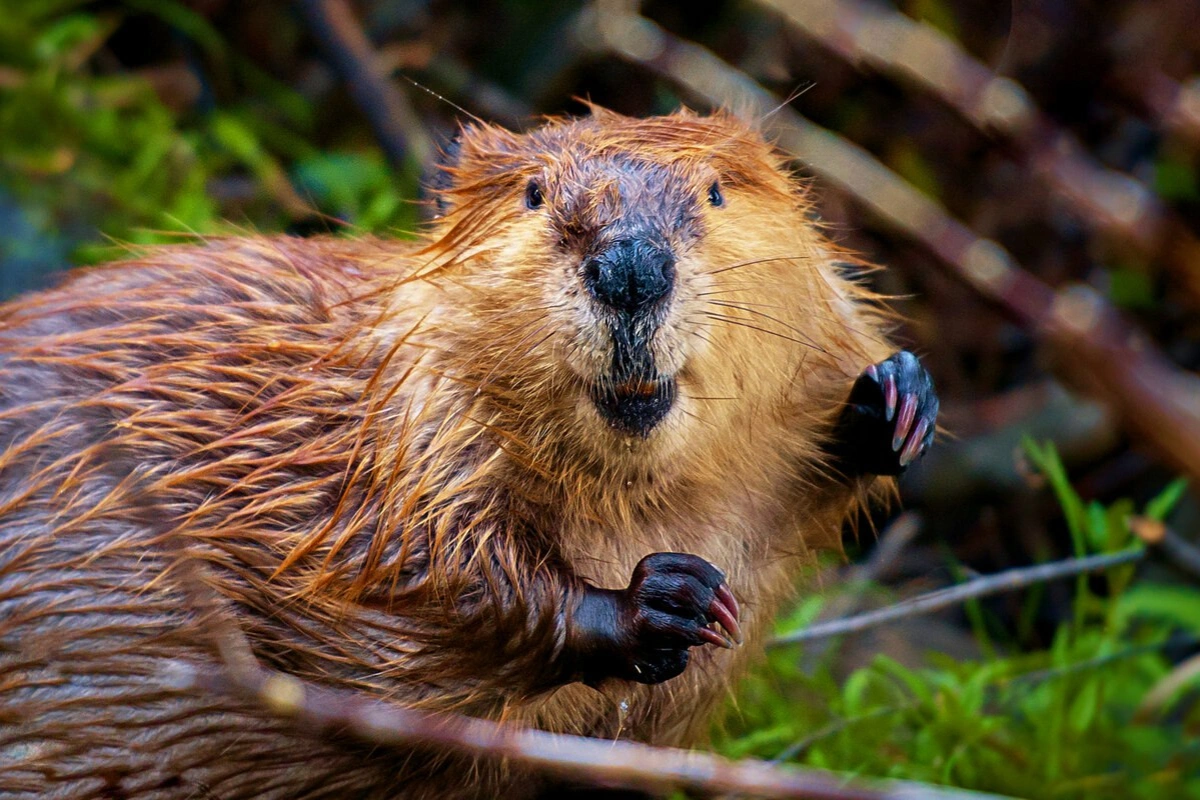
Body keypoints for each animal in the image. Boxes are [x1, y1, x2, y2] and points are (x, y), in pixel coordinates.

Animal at [0, 107, 936, 800]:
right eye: (532, 193)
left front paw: (894, 399)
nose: (631, 266)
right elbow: (414, 578)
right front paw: (666, 599)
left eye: (714, 191)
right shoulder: (405, 427)